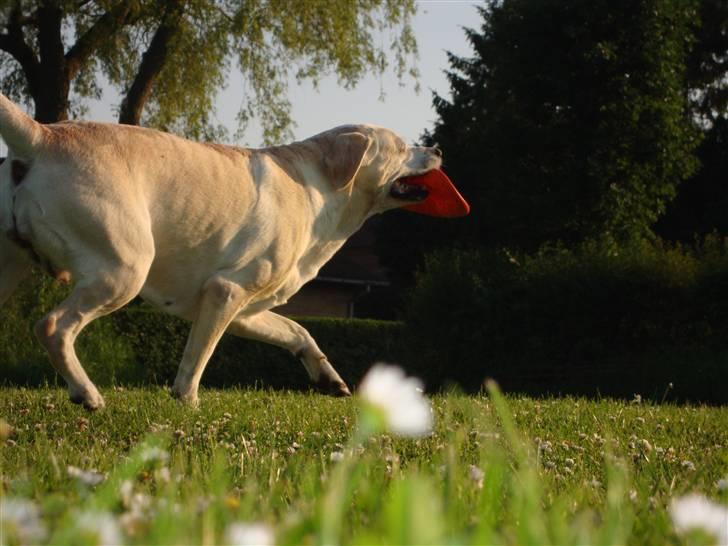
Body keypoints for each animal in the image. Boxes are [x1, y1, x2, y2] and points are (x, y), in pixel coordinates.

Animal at [0, 94, 444, 408]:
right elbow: (197, 358)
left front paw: (329, 379)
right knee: (53, 327)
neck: (322, 190)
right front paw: (187, 402)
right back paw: (88, 394)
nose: (438, 148)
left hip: (18, 267)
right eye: (402, 147)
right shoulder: (225, 291)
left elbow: (298, 330)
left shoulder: (244, 310)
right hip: (124, 271)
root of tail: (43, 135)